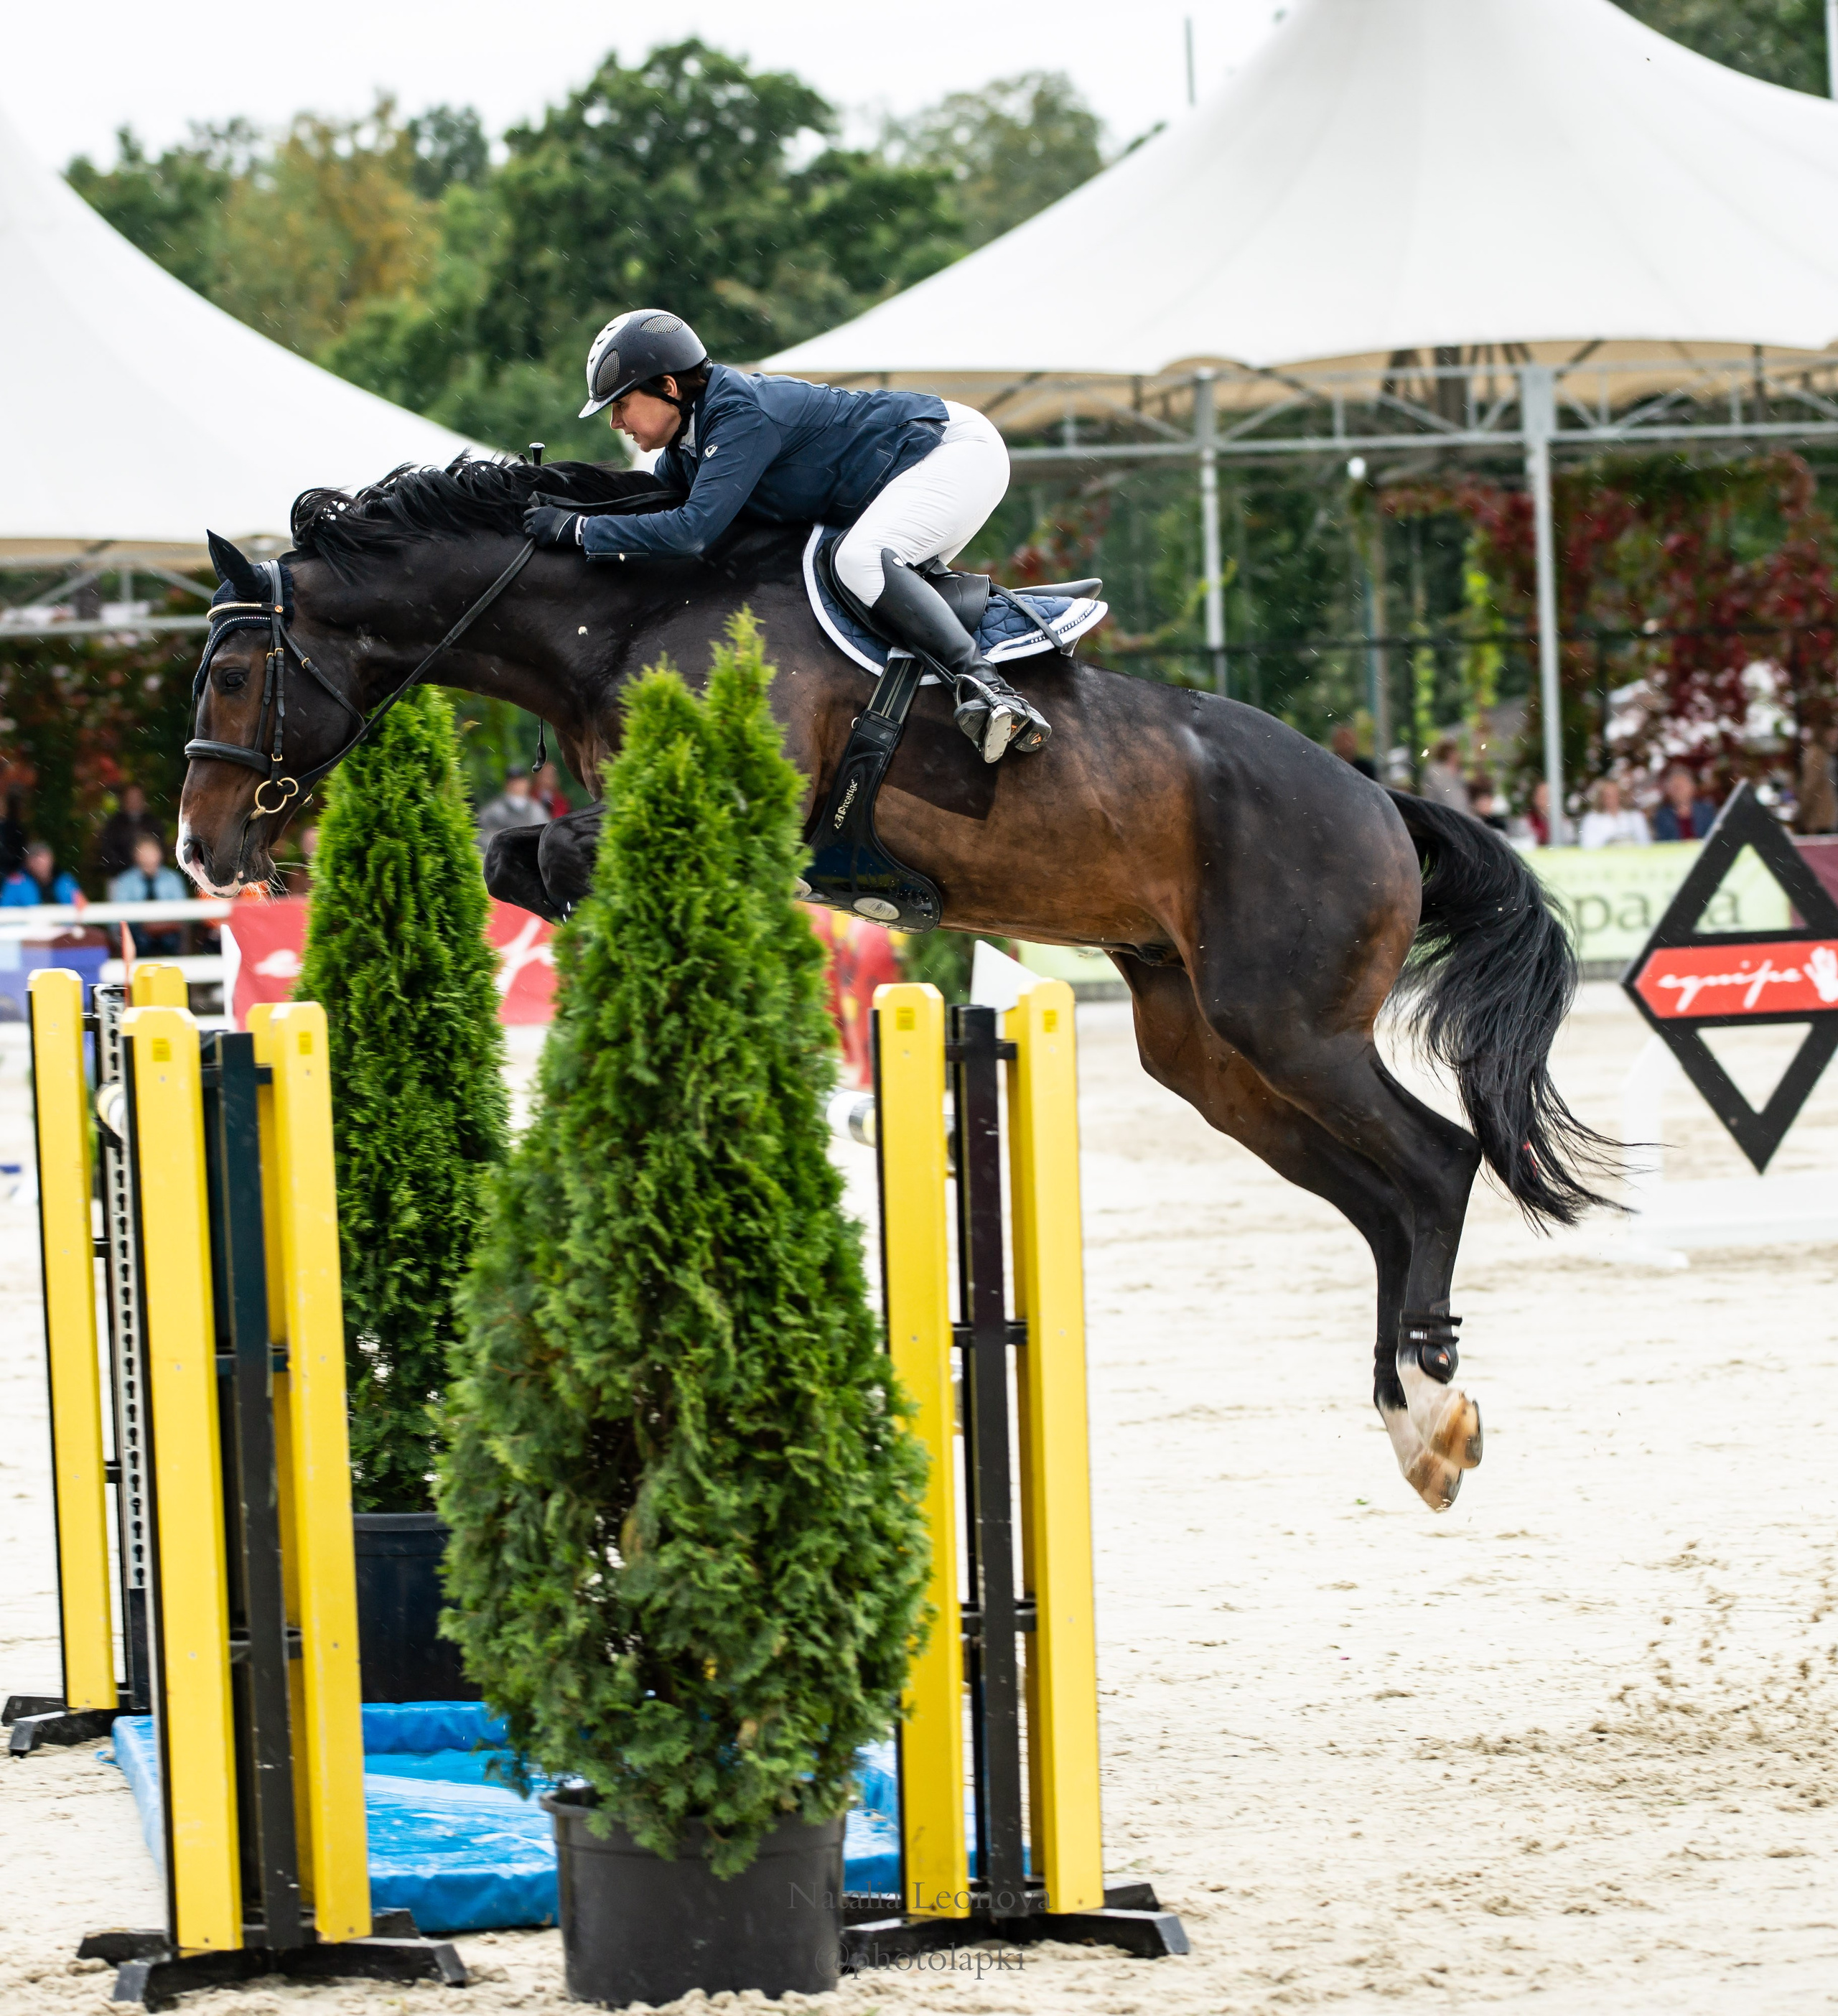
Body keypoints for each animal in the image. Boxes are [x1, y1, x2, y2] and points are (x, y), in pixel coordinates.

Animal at [177, 455, 1612, 1512]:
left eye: (235, 674)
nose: (203, 851)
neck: (623, 609)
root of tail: (1380, 799)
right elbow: (515, 856)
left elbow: (527, 852)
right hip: (1205, 1051)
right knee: (1377, 1203)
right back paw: (1407, 1420)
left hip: (1290, 1024)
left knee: (1432, 1164)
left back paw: (1435, 1406)